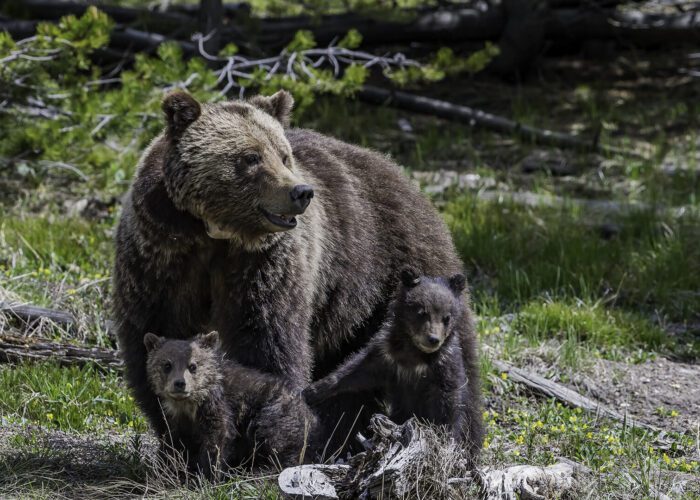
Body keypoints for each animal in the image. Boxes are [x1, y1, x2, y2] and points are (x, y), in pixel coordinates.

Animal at [144, 331, 317, 476]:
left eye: (193, 366)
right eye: (167, 365)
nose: (180, 383)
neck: (190, 404)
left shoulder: (218, 406)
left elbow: (218, 439)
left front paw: (207, 474)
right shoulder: (178, 420)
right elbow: (173, 443)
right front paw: (166, 468)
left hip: (276, 413)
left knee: (277, 443)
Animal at [303, 268, 473, 448]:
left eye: (447, 317)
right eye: (422, 312)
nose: (433, 339)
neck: (415, 354)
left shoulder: (443, 366)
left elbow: (447, 403)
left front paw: (443, 437)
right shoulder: (387, 355)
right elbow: (356, 371)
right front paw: (312, 391)